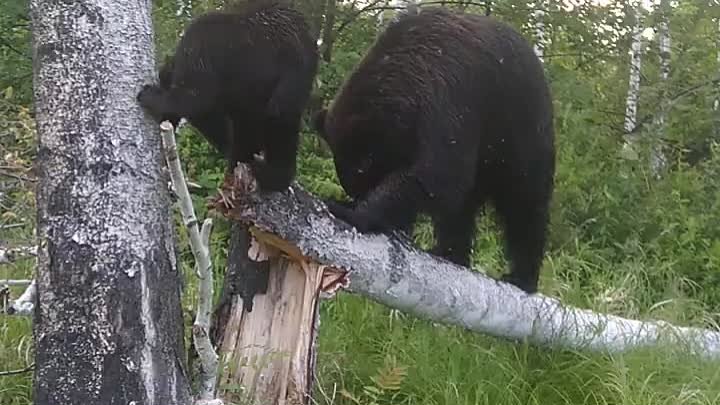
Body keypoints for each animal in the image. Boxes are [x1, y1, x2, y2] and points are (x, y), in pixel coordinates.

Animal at [138, 1, 318, 191]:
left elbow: (194, 97)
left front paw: (148, 94)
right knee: (281, 125)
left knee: (272, 120)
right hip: (292, 85)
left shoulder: (201, 47)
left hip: (284, 76)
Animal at [312, 7, 556, 292]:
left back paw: (522, 276)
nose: (401, 227)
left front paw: (351, 210)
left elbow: (440, 173)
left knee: (525, 205)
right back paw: (450, 252)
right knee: (461, 210)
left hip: (521, 137)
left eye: (366, 175)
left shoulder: (449, 96)